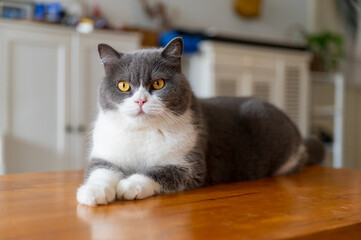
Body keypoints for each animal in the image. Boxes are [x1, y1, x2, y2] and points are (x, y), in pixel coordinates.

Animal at [76, 37, 324, 206]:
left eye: (158, 83)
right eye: (123, 85)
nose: (140, 100)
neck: (143, 133)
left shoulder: (190, 165)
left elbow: (159, 172)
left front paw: (128, 185)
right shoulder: (105, 154)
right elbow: (100, 170)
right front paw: (93, 192)